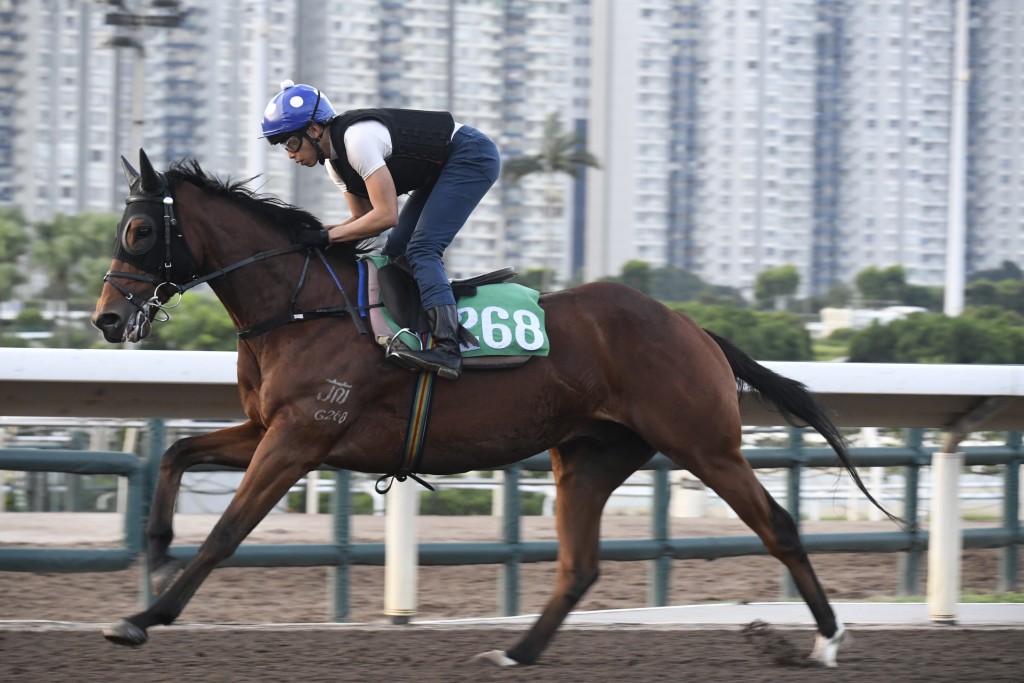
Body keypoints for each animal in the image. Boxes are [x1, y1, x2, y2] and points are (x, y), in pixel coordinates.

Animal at [92, 149, 892, 667]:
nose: (106, 319)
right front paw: (155, 545)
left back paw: (826, 640)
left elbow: (228, 530)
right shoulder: (268, 426)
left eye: (139, 230)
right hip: (589, 456)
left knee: (778, 524)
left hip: (704, 443)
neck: (301, 305)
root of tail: (694, 328)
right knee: (580, 565)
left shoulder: (299, 436)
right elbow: (177, 451)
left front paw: (143, 617)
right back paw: (517, 652)